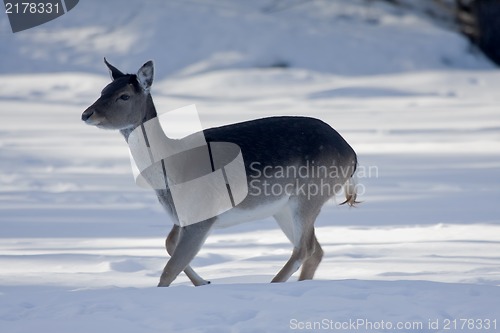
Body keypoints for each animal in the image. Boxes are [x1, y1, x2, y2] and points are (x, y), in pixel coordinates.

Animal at [80, 58, 358, 286]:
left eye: (124, 96)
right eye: (103, 90)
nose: (86, 114)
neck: (172, 167)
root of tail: (351, 153)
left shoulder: (202, 215)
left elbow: (169, 269)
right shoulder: (181, 216)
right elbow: (169, 246)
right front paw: (204, 282)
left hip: (310, 194)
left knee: (304, 248)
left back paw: (272, 284)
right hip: (282, 208)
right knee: (315, 250)